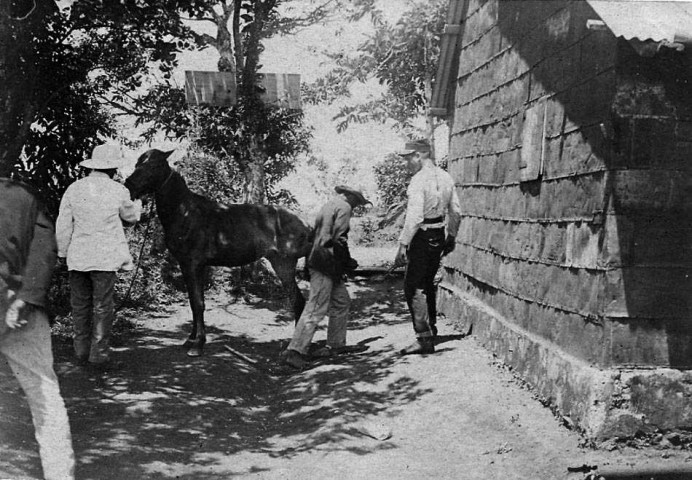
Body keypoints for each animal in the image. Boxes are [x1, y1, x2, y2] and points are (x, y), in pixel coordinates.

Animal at [125, 150, 314, 356]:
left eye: (155, 165)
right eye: (137, 163)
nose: (129, 184)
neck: (185, 212)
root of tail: (307, 223)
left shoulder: (193, 265)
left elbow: (198, 303)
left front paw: (198, 344)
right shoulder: (189, 266)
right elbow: (194, 302)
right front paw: (191, 339)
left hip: (283, 264)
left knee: (298, 302)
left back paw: (293, 348)